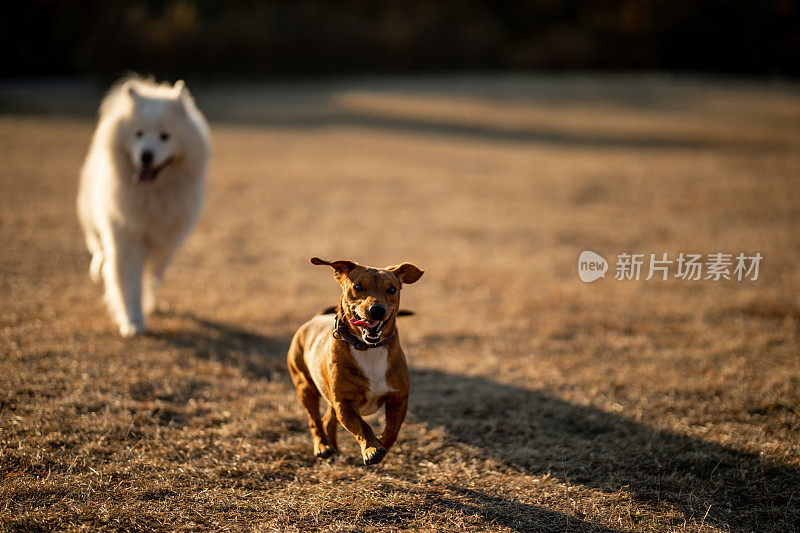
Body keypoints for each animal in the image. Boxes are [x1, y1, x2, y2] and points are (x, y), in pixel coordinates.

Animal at [76, 76, 209, 334]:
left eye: (165, 136)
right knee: (97, 247)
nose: (146, 155)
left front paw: (146, 302)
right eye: (138, 134)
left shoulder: (167, 241)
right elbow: (128, 281)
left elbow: (151, 274)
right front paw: (133, 321)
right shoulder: (125, 236)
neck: (151, 195)